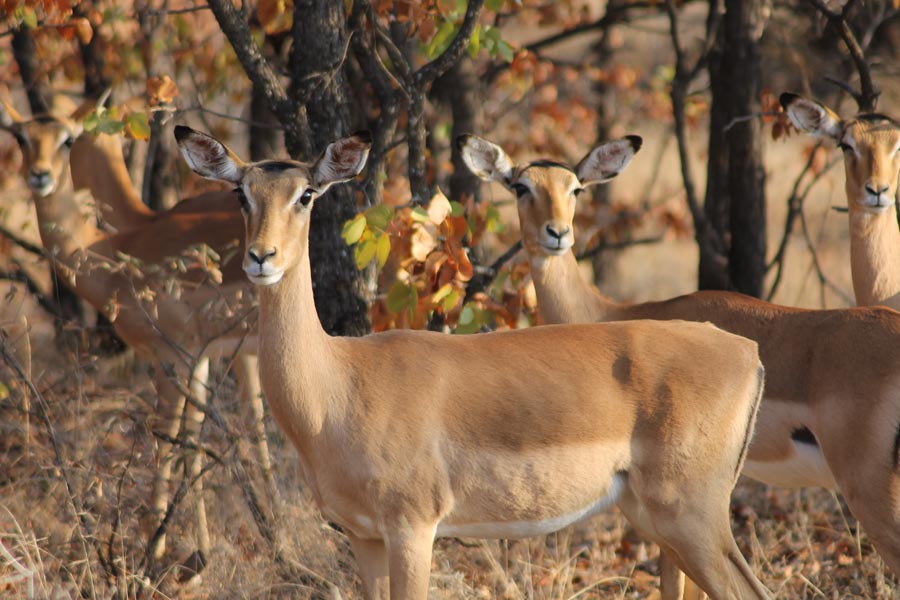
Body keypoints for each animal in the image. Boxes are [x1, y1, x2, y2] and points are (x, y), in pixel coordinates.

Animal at [0, 99, 260, 568]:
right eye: (20, 136)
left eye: (68, 138)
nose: (40, 175)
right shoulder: (199, 356)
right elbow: (193, 437)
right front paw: (198, 555)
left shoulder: (171, 355)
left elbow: (169, 437)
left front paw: (155, 548)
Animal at [178, 125, 772, 600]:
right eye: (240, 193)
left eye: (305, 193)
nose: (261, 258)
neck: (339, 386)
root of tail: (747, 352)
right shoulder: (365, 537)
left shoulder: (412, 529)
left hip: (691, 518)